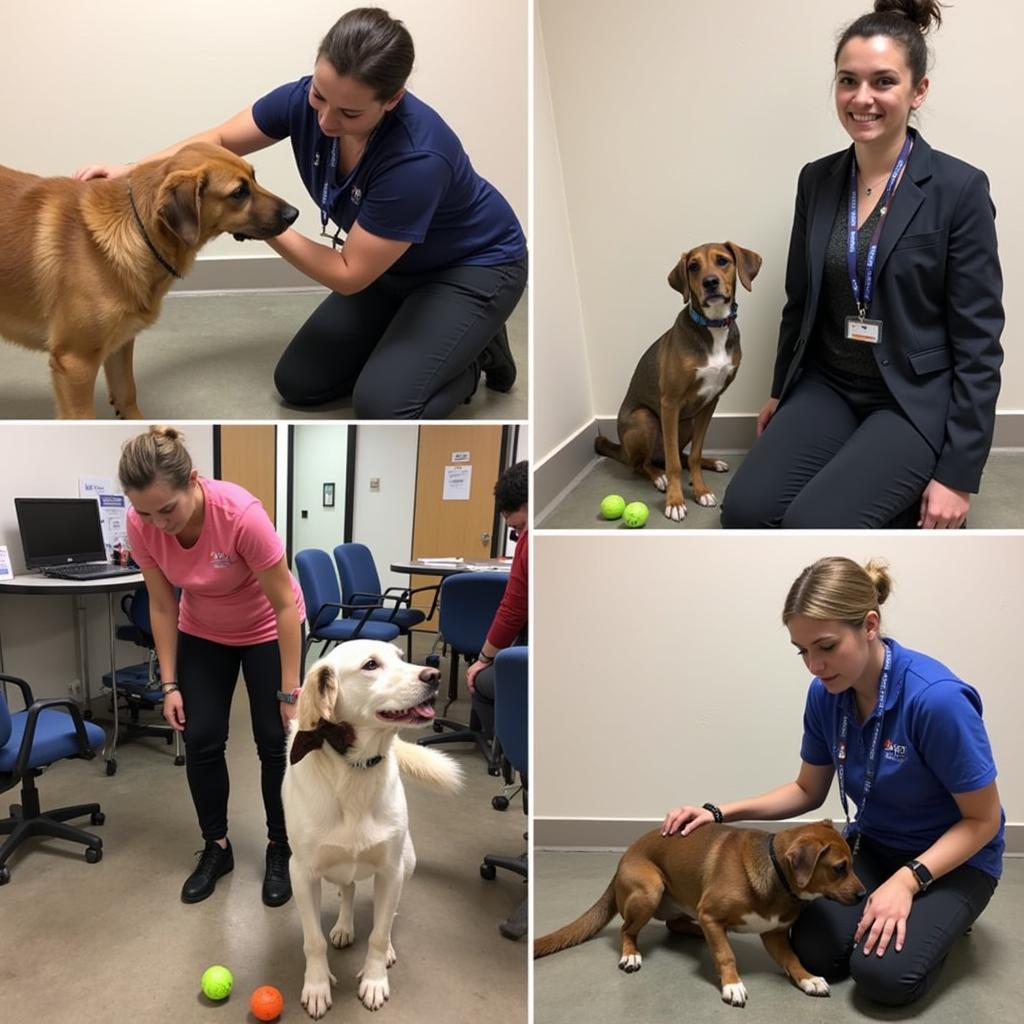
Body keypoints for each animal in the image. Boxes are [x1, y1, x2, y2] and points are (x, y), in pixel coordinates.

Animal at [0, 142, 299, 417]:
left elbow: (127, 392)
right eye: (239, 192)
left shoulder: (120, 345)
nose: (294, 214)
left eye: (254, 177)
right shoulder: (75, 364)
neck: (137, 227)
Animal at [286, 638, 466, 1015]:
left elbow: (380, 934)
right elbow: (313, 940)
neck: (354, 769)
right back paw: (343, 926)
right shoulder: (302, 874)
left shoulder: (390, 869)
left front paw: (374, 980)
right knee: (349, 888)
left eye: (401, 657)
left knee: (389, 913)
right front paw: (317, 985)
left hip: (407, 863)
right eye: (370, 665)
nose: (434, 675)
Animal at [536, 815, 864, 1007]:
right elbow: (726, 954)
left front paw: (809, 978)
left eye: (852, 863)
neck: (778, 876)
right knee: (627, 929)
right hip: (650, 888)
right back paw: (631, 954)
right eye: (839, 868)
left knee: (675, 924)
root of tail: (622, 862)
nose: (863, 895)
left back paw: (697, 933)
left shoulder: (774, 934)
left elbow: (793, 959)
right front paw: (732, 984)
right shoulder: (710, 914)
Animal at [593, 243, 761, 524]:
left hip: (689, 422)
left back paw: (712, 463)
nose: (710, 282)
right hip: (646, 419)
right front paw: (675, 501)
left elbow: (693, 455)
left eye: (722, 261)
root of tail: (622, 450)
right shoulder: (670, 403)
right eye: (693, 266)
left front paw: (701, 489)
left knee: (682, 456)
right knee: (643, 464)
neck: (713, 326)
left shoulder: (710, 402)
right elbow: (672, 463)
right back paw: (658, 477)